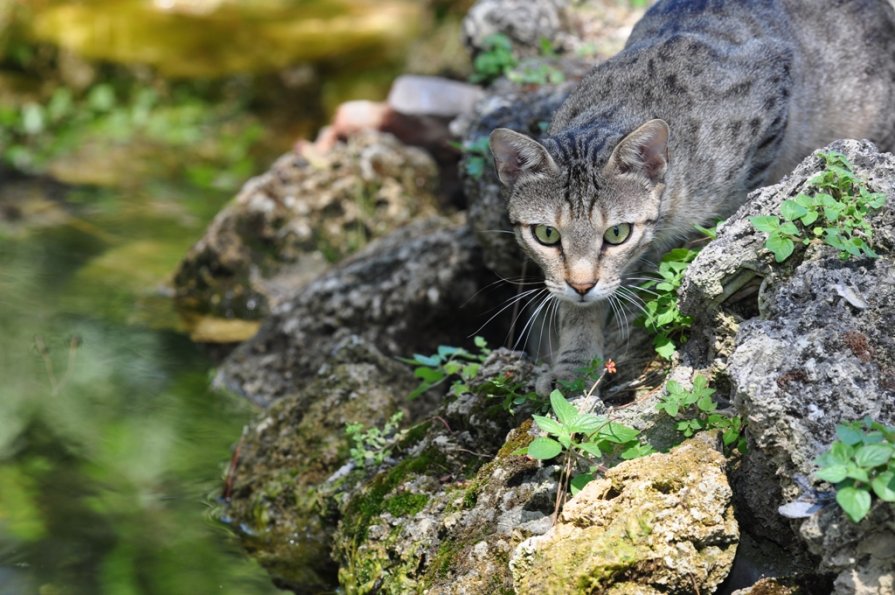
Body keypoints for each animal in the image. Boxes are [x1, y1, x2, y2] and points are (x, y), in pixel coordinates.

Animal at [490, 0, 895, 396]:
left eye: (617, 234)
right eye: (546, 235)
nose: (581, 286)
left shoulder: (770, 94)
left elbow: (735, 206)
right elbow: (576, 308)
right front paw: (575, 367)